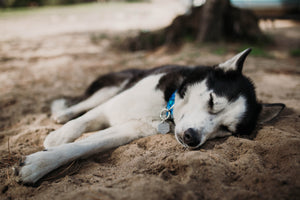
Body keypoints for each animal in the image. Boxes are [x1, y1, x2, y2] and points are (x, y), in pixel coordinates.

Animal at [15, 48, 284, 184]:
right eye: (212, 101)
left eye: (227, 130)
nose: (192, 138)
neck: (166, 107)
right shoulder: (113, 103)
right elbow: (83, 121)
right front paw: (58, 138)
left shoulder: (131, 130)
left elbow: (84, 146)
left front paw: (38, 165)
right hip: (114, 86)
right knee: (82, 103)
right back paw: (62, 114)